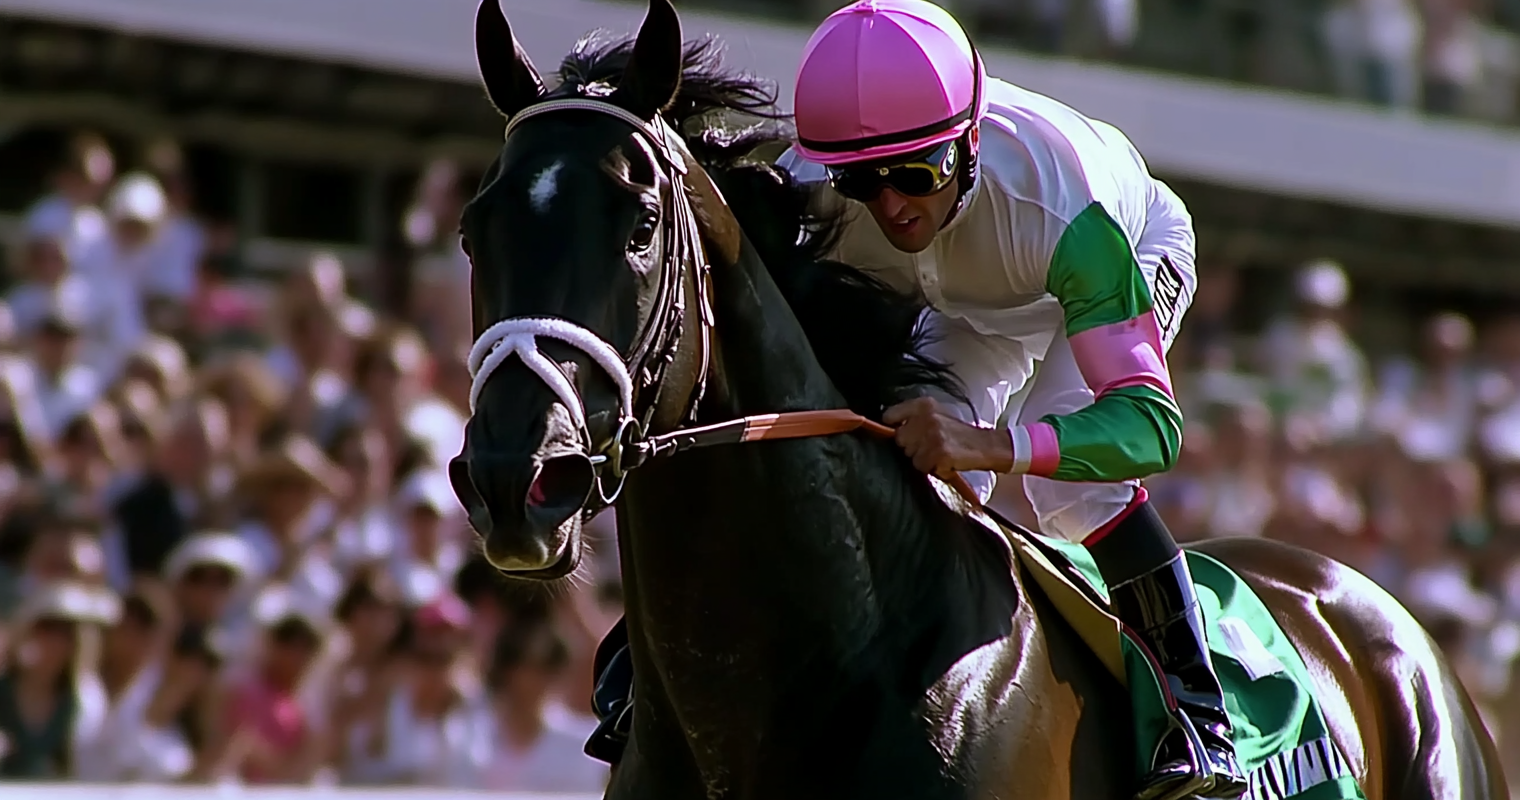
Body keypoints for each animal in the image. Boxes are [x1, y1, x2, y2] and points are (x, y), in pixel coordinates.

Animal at [443, 3, 1501, 796]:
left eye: (640, 227)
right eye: (471, 227)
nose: (514, 478)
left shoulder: (1084, 235)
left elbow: (1144, 415)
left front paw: (941, 439)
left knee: (1093, 492)